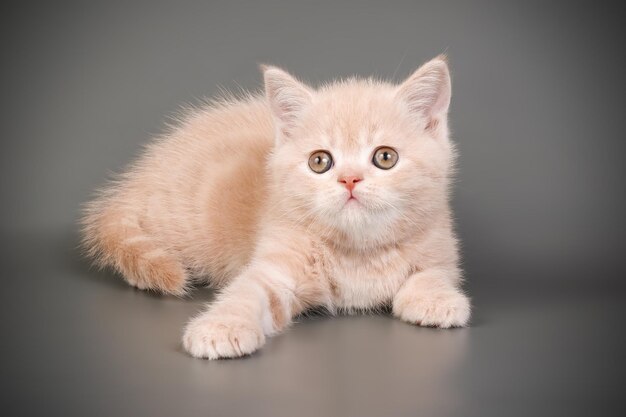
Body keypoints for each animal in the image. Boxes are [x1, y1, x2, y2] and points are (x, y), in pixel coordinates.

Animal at [80, 55, 468, 360]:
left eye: (385, 157)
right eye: (319, 161)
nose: (349, 180)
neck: (358, 254)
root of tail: (139, 177)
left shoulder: (441, 247)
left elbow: (432, 273)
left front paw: (436, 300)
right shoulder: (276, 263)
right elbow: (245, 293)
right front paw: (221, 327)